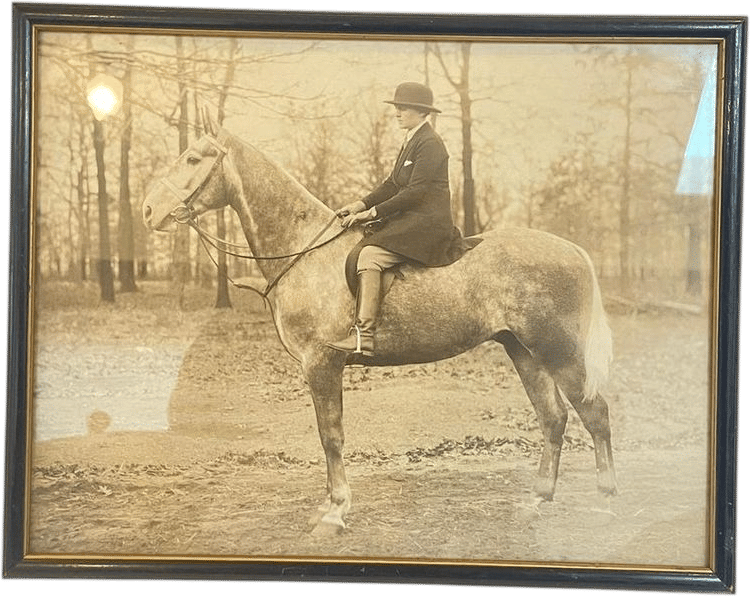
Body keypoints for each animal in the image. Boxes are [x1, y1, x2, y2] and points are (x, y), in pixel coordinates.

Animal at [142, 113, 616, 536]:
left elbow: (331, 436)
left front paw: (335, 512)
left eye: (192, 157)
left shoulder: (321, 364)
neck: (305, 250)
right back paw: (538, 497)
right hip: (522, 349)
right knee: (553, 418)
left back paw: (607, 497)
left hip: (557, 350)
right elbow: (329, 435)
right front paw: (329, 506)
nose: (148, 211)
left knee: (594, 412)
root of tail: (574, 249)